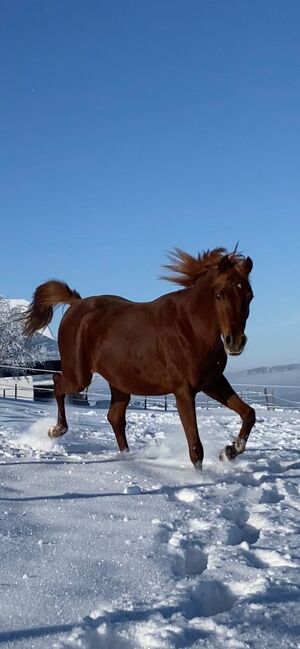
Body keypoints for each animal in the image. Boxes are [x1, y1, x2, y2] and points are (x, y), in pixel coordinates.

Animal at [22, 247, 255, 466]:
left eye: (249, 296)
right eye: (219, 295)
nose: (235, 341)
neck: (191, 328)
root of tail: (76, 304)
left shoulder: (213, 382)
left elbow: (249, 414)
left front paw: (229, 451)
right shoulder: (184, 391)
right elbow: (196, 448)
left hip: (119, 383)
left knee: (115, 417)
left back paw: (127, 457)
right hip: (79, 376)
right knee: (57, 383)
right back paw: (55, 430)